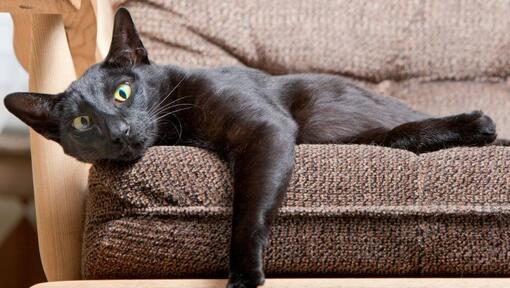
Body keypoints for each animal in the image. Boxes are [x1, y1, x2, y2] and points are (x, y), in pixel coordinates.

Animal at [2, 8, 506, 288]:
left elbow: (249, 207)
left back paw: (479, 125)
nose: (118, 131)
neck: (176, 131)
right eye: (82, 122)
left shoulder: (264, 129)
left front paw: (243, 274)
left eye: (122, 93)